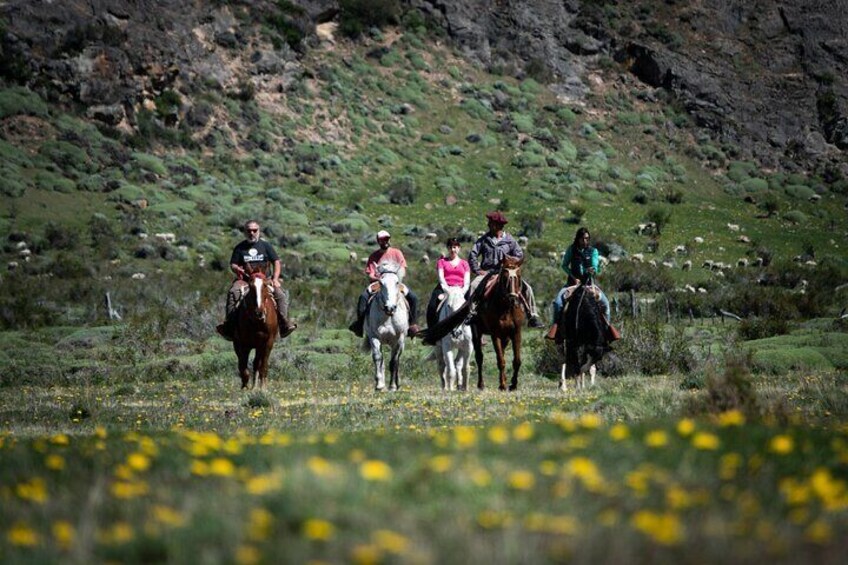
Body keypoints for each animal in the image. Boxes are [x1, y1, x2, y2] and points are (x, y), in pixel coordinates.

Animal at [362, 262, 410, 390]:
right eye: (380, 282)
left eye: (397, 282)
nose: (390, 307)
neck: (388, 317)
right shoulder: (374, 337)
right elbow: (378, 358)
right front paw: (379, 384)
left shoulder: (399, 339)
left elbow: (394, 361)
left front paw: (392, 386)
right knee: (382, 361)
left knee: (397, 360)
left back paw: (397, 383)